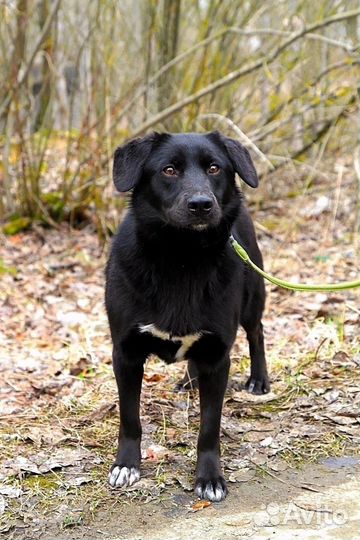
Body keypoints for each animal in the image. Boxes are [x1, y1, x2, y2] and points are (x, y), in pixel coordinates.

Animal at [105, 131, 268, 502]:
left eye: (214, 168)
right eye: (169, 170)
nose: (201, 204)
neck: (181, 259)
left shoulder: (218, 357)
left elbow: (209, 425)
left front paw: (209, 478)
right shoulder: (125, 354)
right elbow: (129, 417)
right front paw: (126, 465)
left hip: (253, 295)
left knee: (257, 332)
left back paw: (259, 380)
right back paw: (189, 380)